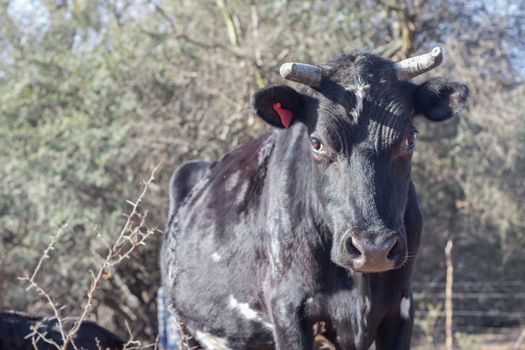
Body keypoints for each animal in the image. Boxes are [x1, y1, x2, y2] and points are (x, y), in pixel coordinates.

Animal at [162, 47, 468, 350]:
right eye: (317, 143)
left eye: (409, 139)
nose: (374, 249)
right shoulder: (288, 309)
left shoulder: (401, 306)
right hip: (184, 327)